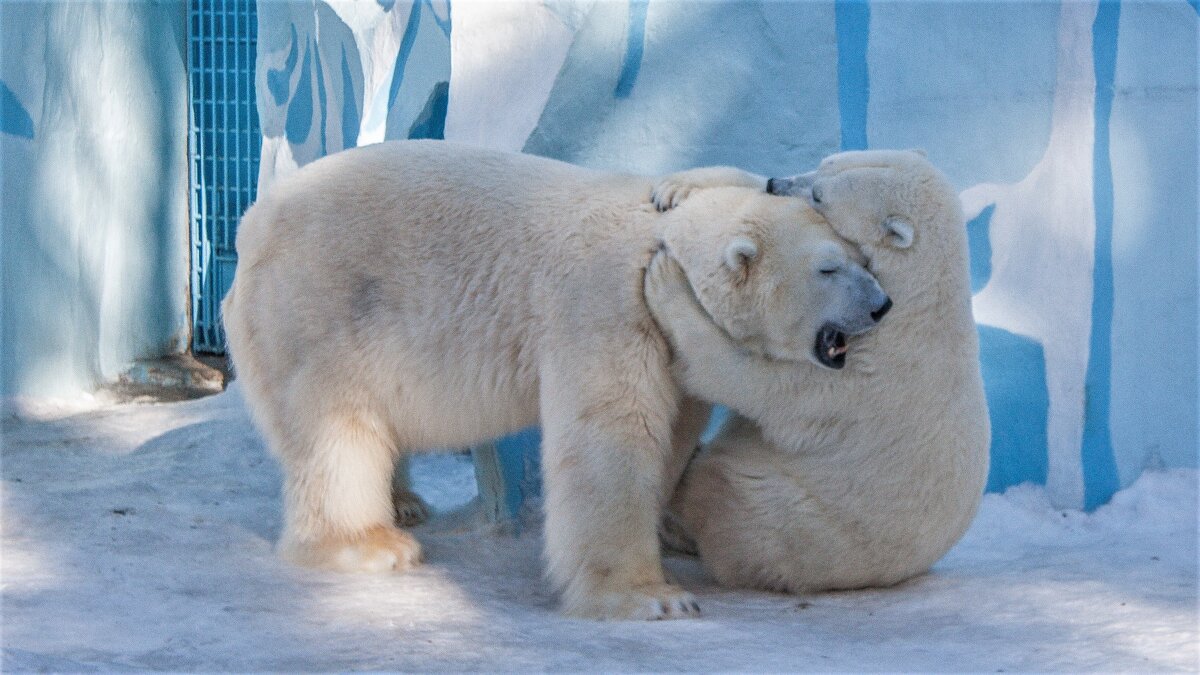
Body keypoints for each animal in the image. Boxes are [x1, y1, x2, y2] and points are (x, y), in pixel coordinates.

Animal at [223, 139, 892, 619]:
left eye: (863, 259)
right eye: (829, 269)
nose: (882, 305)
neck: (662, 251)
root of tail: (252, 223)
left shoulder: (674, 350)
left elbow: (672, 434)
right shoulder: (610, 310)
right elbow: (612, 438)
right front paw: (652, 597)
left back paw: (405, 502)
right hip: (323, 305)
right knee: (335, 425)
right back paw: (370, 543)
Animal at [648, 151, 993, 588]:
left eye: (819, 195)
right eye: (823, 164)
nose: (776, 182)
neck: (920, 296)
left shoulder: (870, 374)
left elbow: (759, 386)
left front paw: (666, 280)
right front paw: (678, 187)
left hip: (793, 518)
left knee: (726, 496)